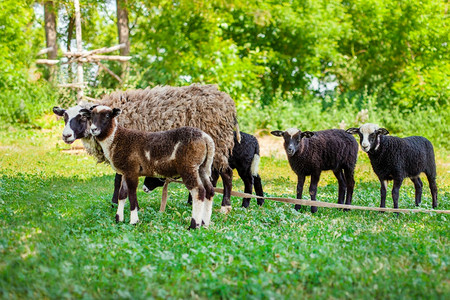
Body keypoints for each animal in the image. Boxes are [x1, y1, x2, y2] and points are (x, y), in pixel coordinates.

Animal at [53, 83, 239, 212]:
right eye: (65, 117)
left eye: (83, 117)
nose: (66, 136)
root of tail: (228, 103)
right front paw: (116, 203)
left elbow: (118, 180)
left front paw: (116, 203)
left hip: (218, 142)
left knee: (227, 173)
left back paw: (225, 206)